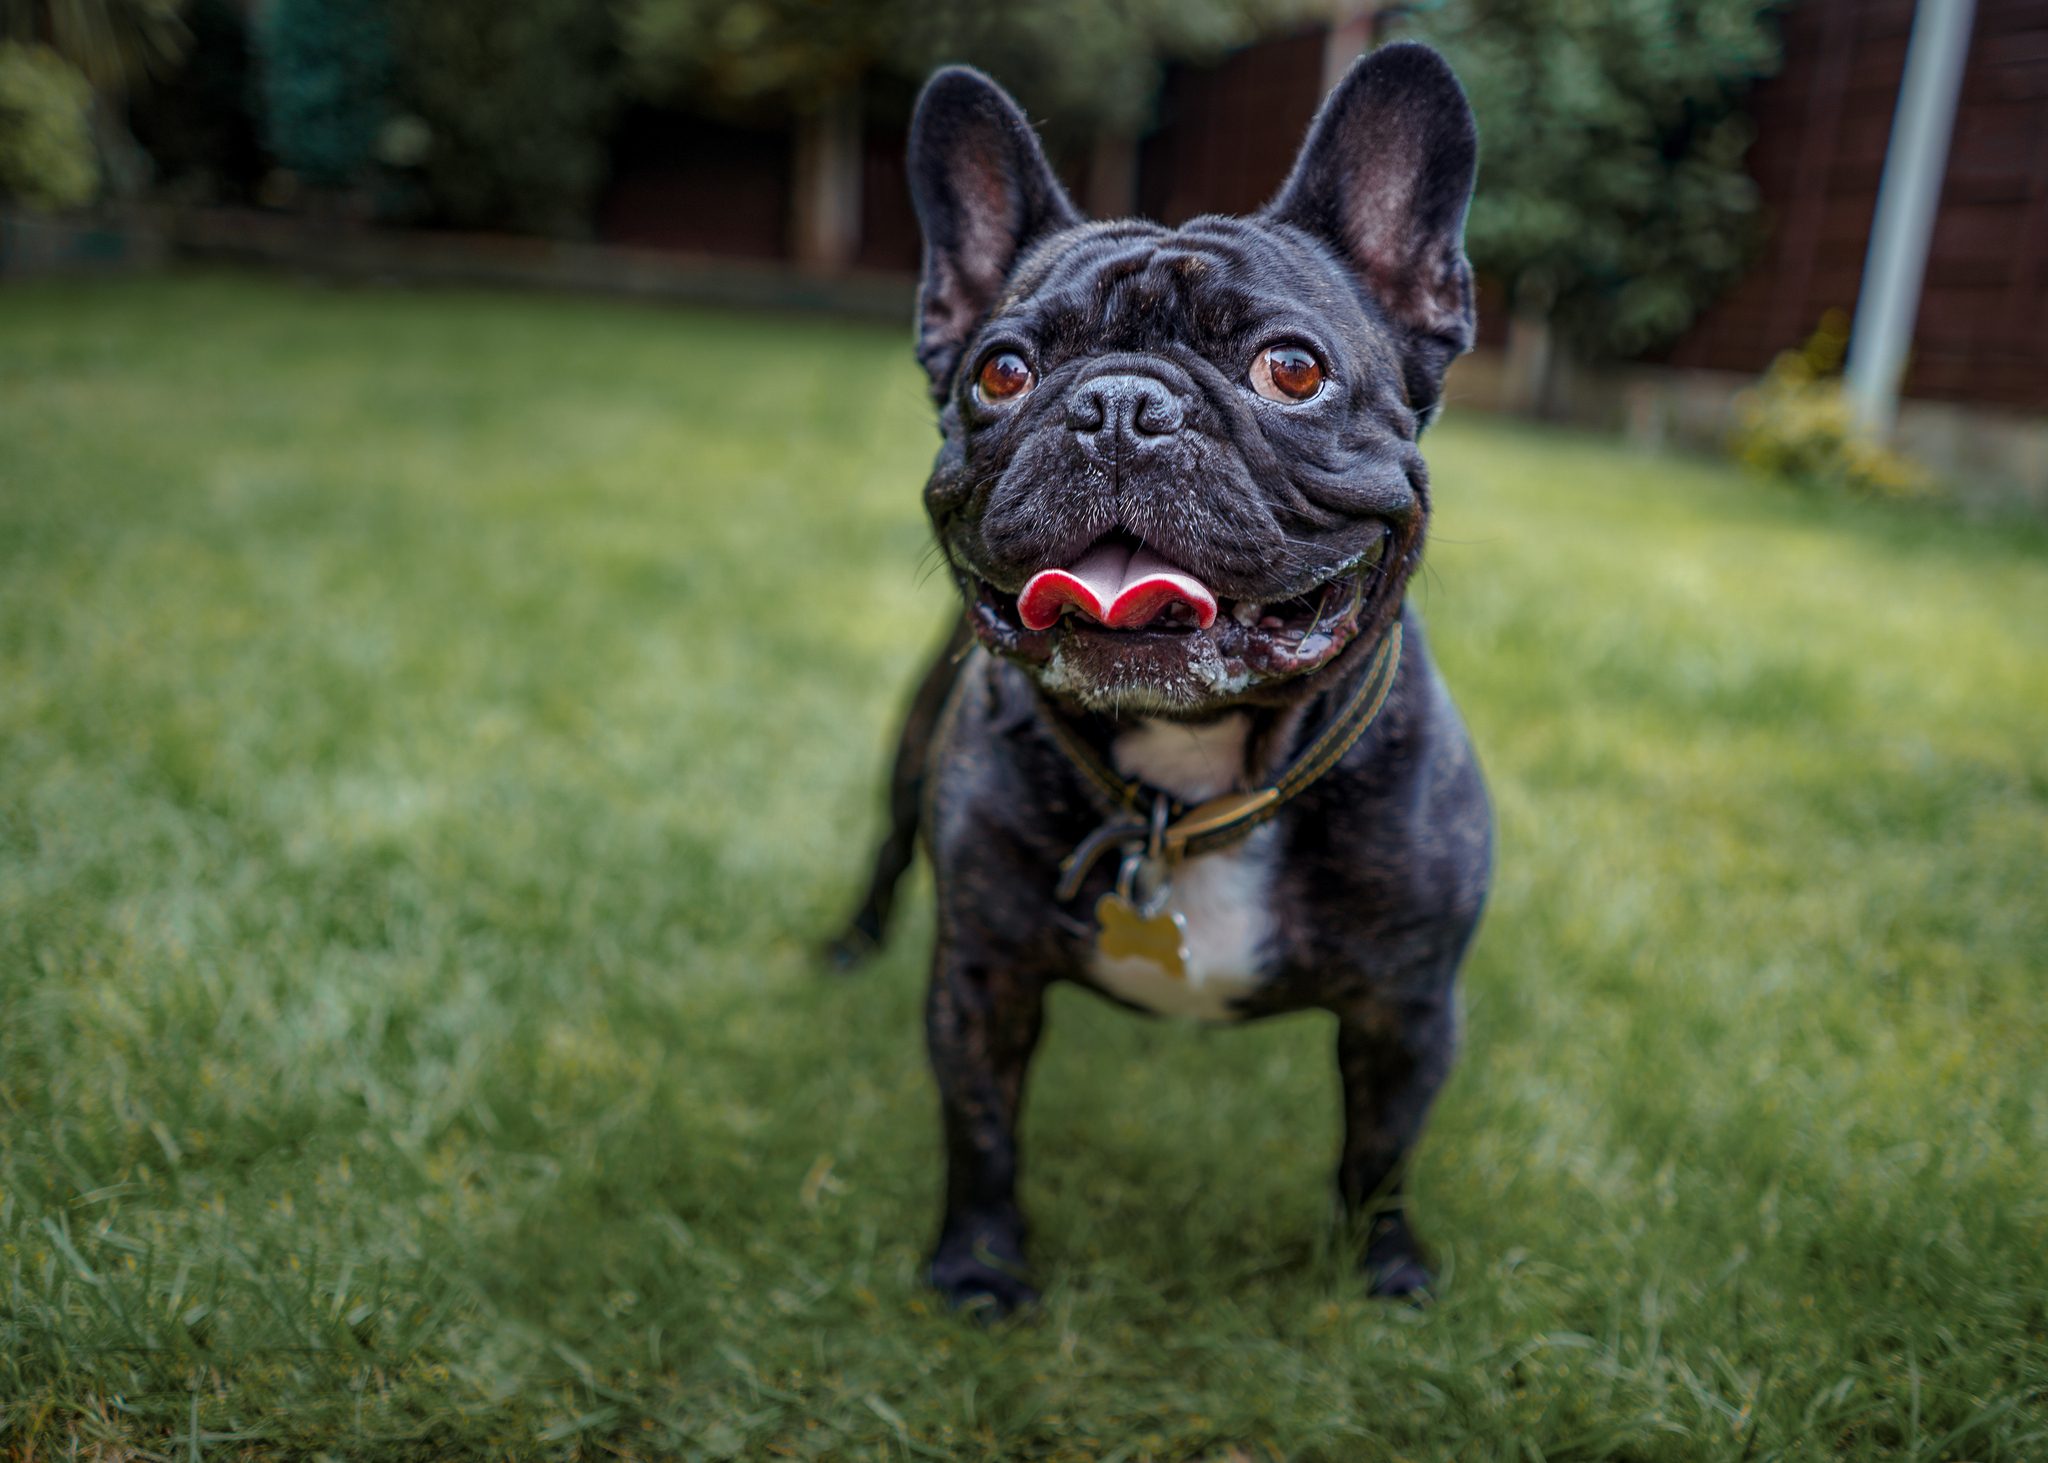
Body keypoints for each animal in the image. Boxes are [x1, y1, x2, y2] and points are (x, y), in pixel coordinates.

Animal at [827, 42, 1490, 1311]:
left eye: (1292, 369)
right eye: (1001, 371)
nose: (1119, 403)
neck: (1190, 784)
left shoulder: (1408, 1005)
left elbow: (1380, 1149)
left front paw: (1383, 1269)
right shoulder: (980, 974)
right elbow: (980, 1127)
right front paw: (979, 1267)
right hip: (906, 760)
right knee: (884, 851)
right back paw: (845, 946)